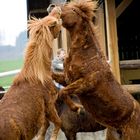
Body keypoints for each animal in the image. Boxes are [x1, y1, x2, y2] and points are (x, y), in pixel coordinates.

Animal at [0, 6, 61, 140]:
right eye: (55, 19)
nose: (54, 7)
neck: (38, 76)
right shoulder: (49, 105)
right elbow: (58, 123)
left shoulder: (43, 113)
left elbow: (45, 127)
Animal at [51, 0, 140, 139]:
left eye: (73, 9)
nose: (52, 7)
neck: (87, 56)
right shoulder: (68, 79)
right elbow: (54, 77)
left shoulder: (86, 84)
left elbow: (63, 92)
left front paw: (78, 108)